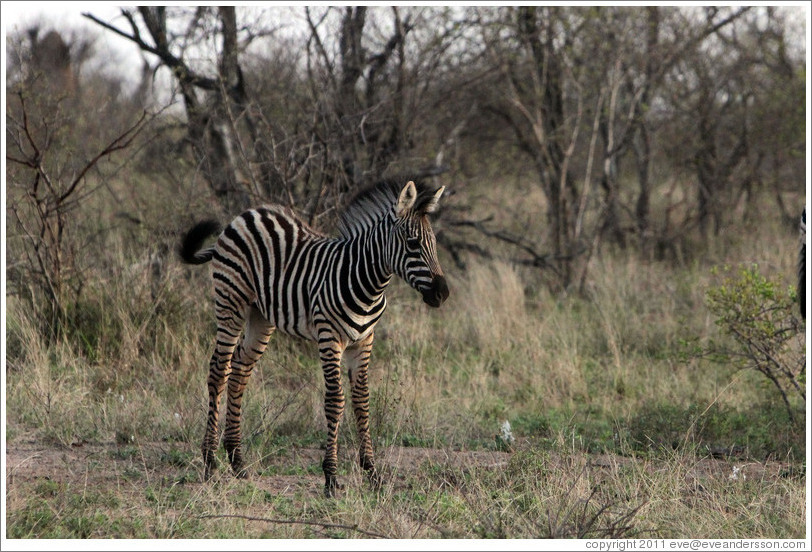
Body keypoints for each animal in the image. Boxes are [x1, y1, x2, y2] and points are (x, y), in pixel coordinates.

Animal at [179, 180, 449, 496]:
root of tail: (245, 215)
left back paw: (237, 460)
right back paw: (210, 462)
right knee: (219, 371)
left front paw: (372, 473)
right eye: (413, 243)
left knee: (239, 372)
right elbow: (335, 401)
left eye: (434, 244)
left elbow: (362, 401)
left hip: (261, 318)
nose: (443, 293)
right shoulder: (329, 337)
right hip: (230, 302)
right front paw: (331, 477)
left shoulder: (364, 341)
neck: (369, 283)